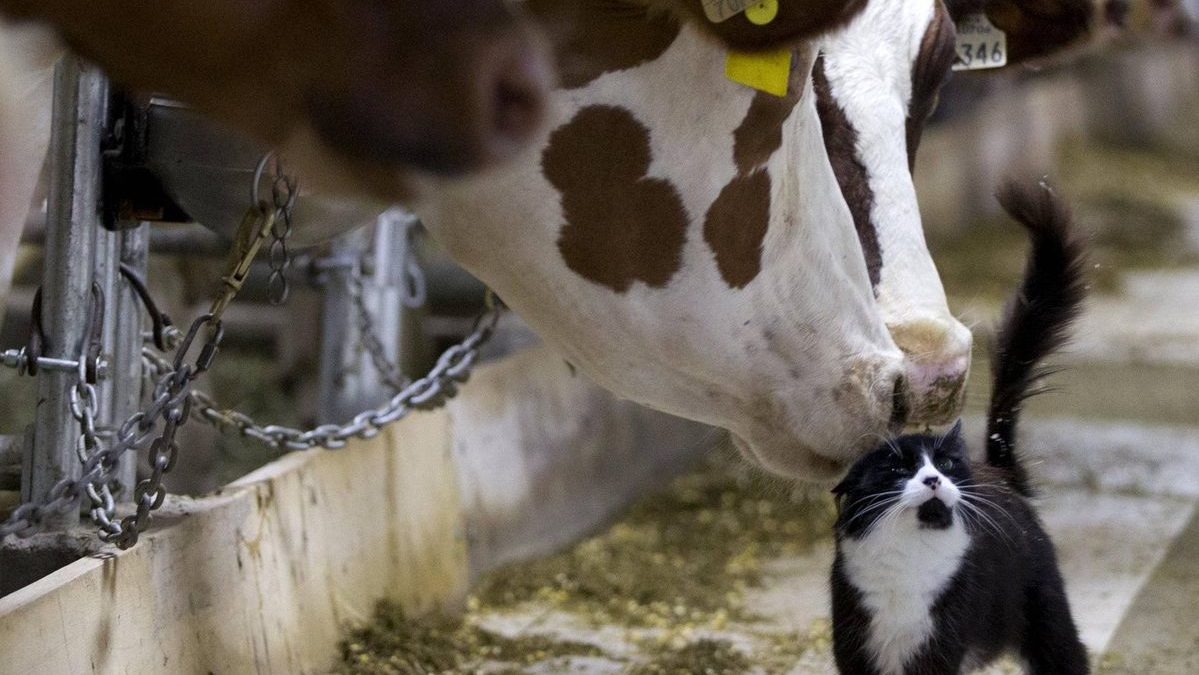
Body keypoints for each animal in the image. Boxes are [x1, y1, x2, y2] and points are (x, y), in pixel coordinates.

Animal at [829, 181, 1093, 675]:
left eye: (947, 465)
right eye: (898, 469)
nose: (933, 479)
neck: (909, 564)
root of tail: (1001, 473)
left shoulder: (941, 646)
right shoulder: (855, 642)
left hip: (1046, 616)